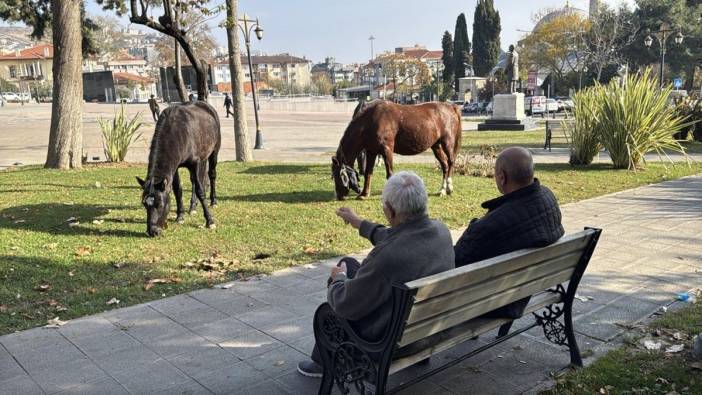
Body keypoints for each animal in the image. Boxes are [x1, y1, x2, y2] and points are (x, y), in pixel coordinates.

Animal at [138, 103, 223, 238]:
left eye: (160, 204)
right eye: (144, 204)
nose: (153, 231)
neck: (176, 133)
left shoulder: (194, 163)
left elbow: (200, 190)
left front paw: (210, 221)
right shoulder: (176, 166)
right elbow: (178, 190)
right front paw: (180, 216)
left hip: (214, 151)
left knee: (211, 175)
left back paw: (213, 201)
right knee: (195, 180)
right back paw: (193, 206)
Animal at [334, 100, 464, 200]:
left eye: (339, 176)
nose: (339, 196)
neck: (371, 121)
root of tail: (450, 106)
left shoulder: (387, 150)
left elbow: (390, 173)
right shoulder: (372, 152)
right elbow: (368, 172)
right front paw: (364, 194)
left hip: (447, 141)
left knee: (451, 161)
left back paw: (449, 187)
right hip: (436, 146)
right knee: (444, 165)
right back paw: (442, 190)